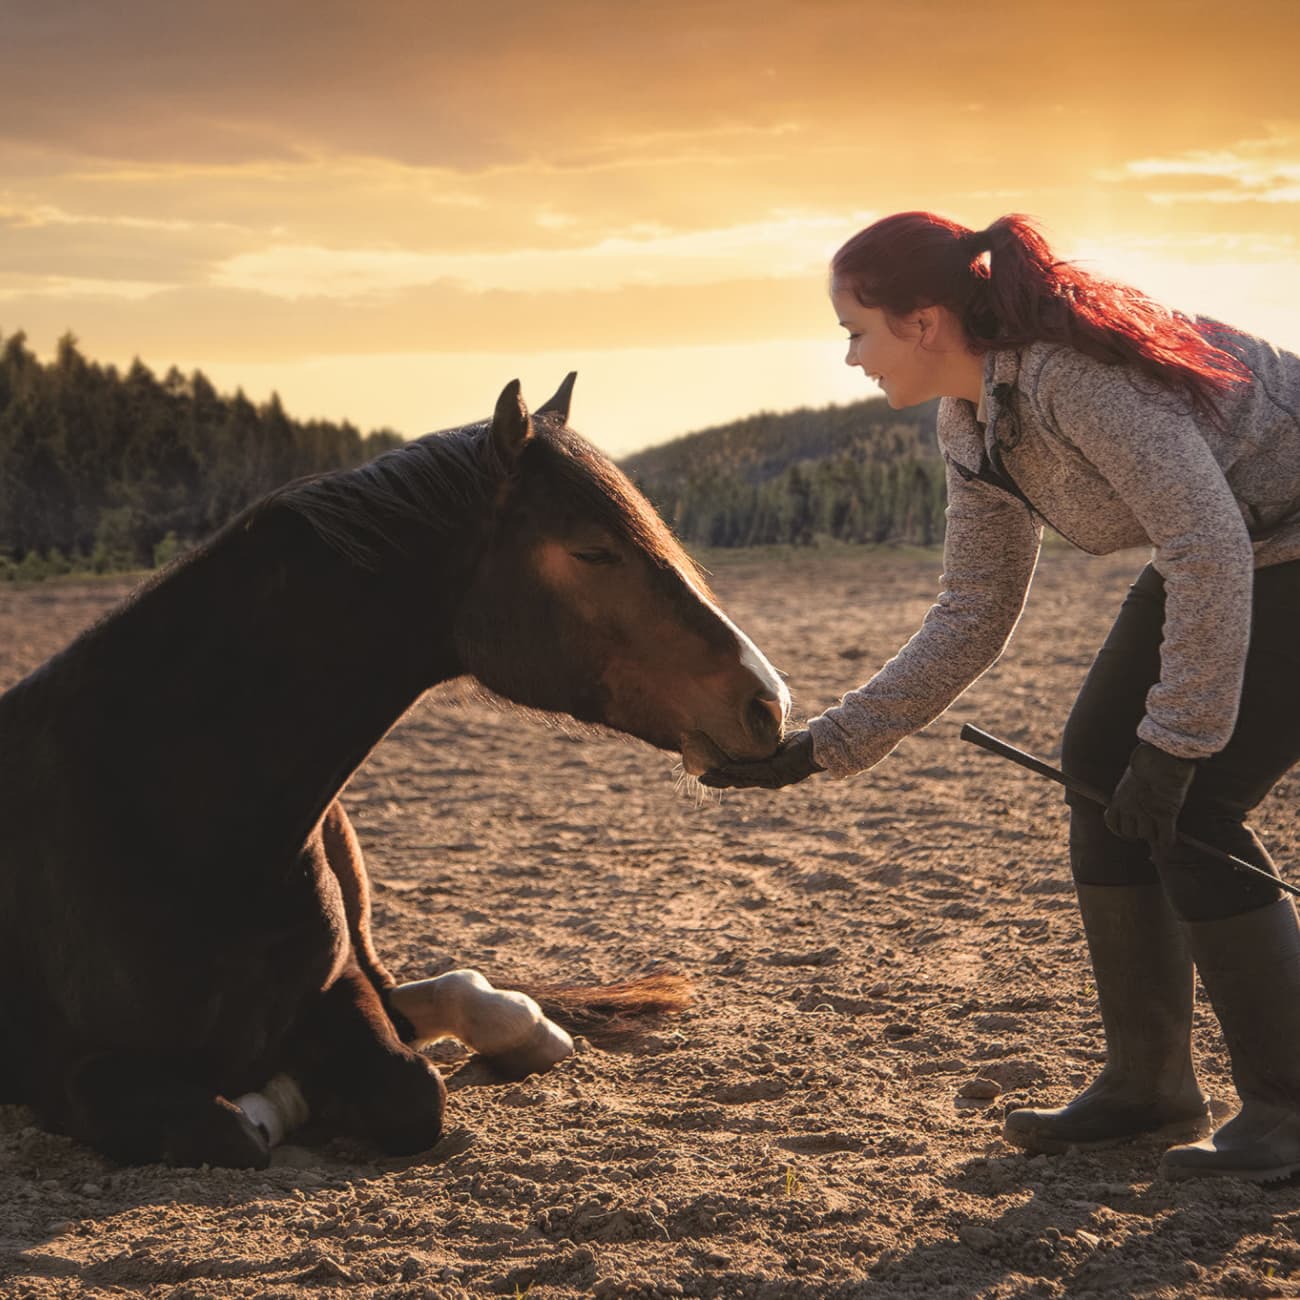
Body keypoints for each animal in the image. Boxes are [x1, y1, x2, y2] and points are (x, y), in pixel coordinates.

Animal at [0, 374, 790, 1170]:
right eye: (593, 552)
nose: (769, 701)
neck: (167, 804)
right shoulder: (69, 1074)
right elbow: (229, 1126)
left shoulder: (340, 992)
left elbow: (409, 1087)